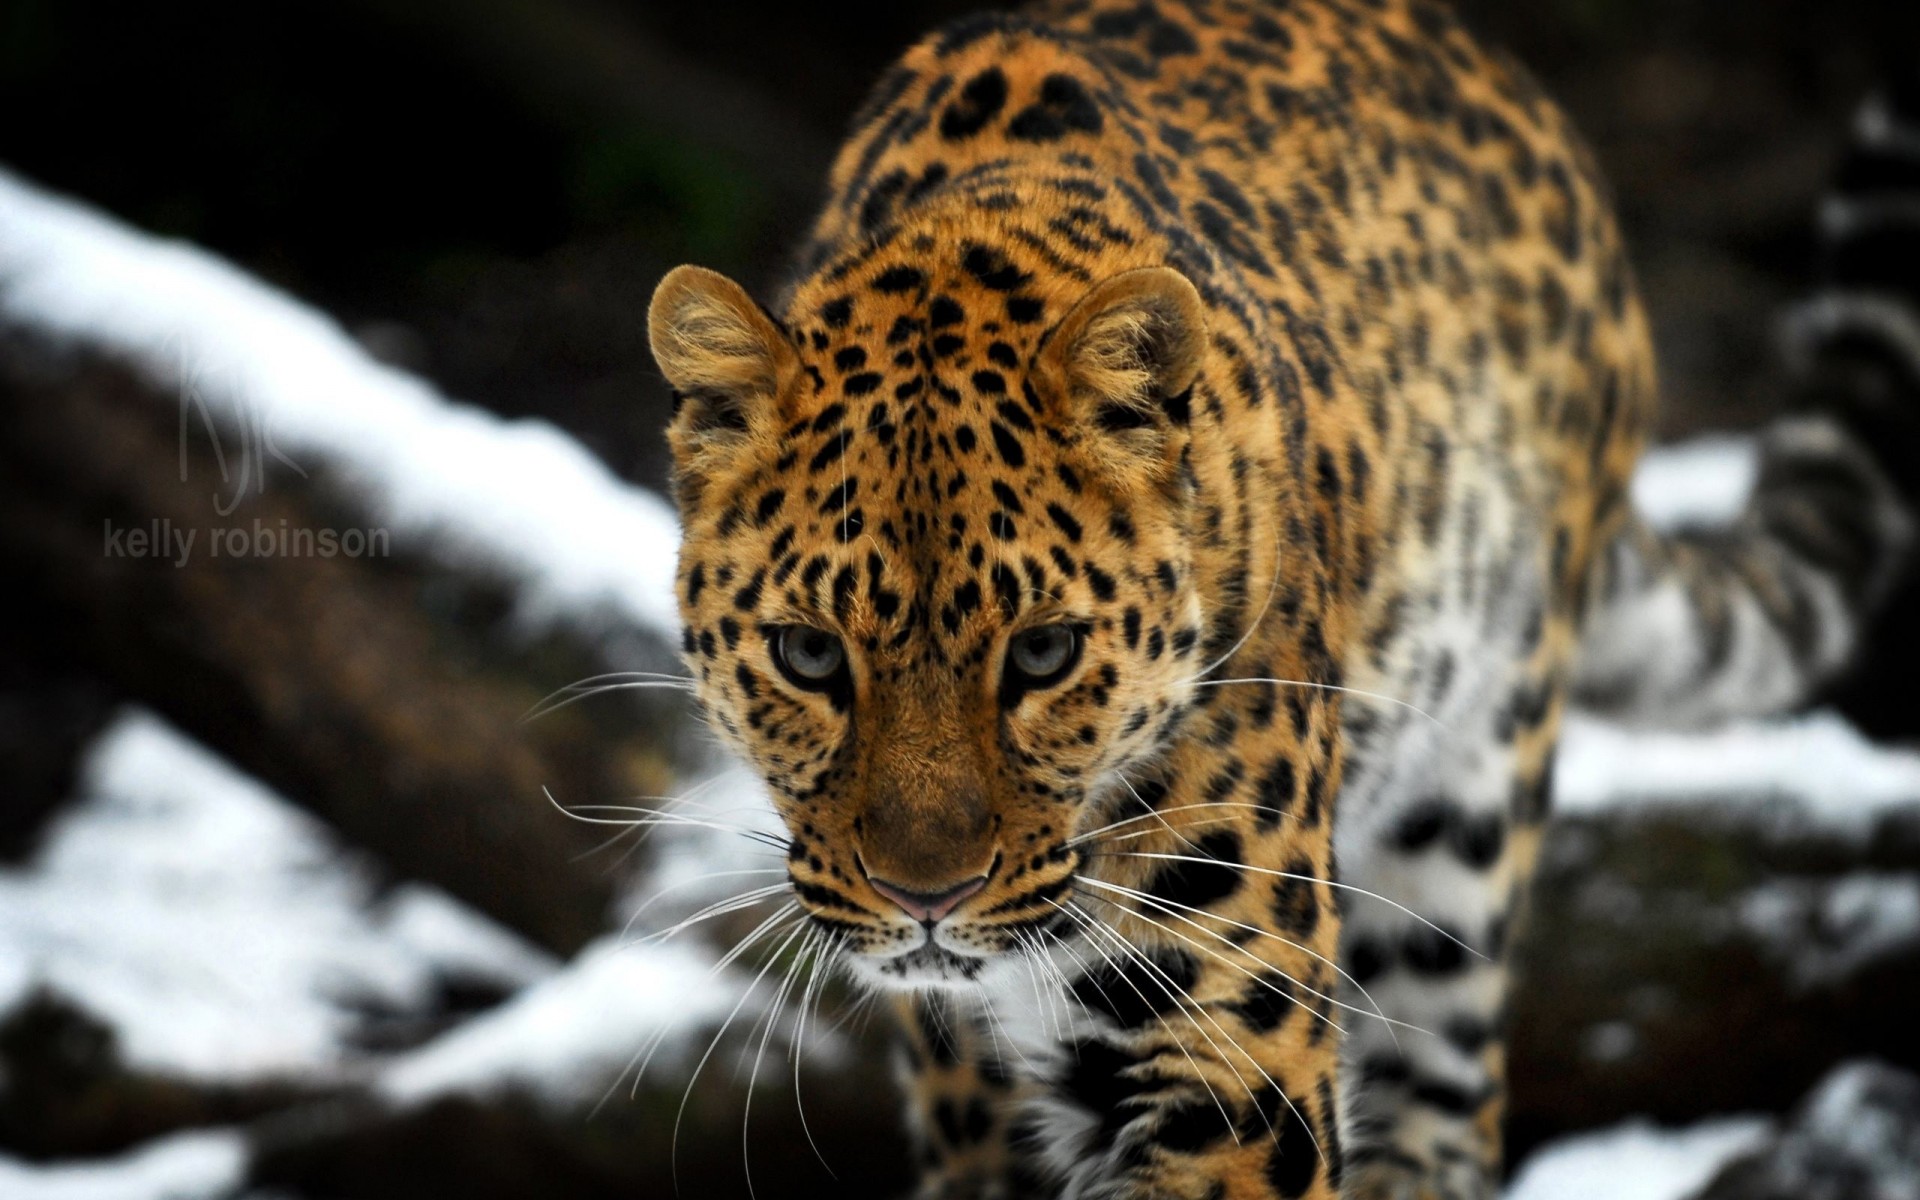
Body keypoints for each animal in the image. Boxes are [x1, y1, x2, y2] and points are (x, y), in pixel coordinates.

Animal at [648, 4, 1920, 1190]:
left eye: (1046, 655)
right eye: (810, 657)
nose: (927, 899)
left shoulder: (1229, 1062)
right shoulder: (975, 1095)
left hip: (1471, 800)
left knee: (1448, 1100)